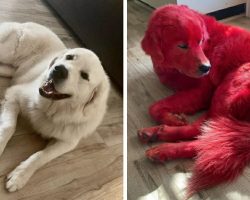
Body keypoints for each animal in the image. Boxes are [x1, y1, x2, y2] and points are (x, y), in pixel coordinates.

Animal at [0, 21, 110, 192]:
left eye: (85, 76)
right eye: (69, 57)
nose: (59, 69)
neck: (52, 109)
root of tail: (28, 23)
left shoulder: (67, 142)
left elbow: (41, 156)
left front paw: (20, 175)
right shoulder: (13, 94)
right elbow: (8, 127)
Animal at [139, 3, 250, 198]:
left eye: (199, 42)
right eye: (182, 45)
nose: (207, 68)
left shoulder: (202, 92)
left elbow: (153, 107)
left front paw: (172, 119)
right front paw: (172, 119)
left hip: (229, 86)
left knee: (204, 136)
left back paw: (163, 147)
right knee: (204, 130)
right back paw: (155, 133)